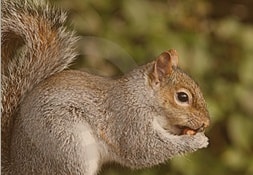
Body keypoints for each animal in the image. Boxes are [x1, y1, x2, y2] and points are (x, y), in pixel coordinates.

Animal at [1, 0, 211, 175]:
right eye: (182, 97)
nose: (206, 123)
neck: (142, 96)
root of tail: (19, 168)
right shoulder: (129, 120)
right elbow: (144, 149)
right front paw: (196, 141)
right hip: (67, 144)